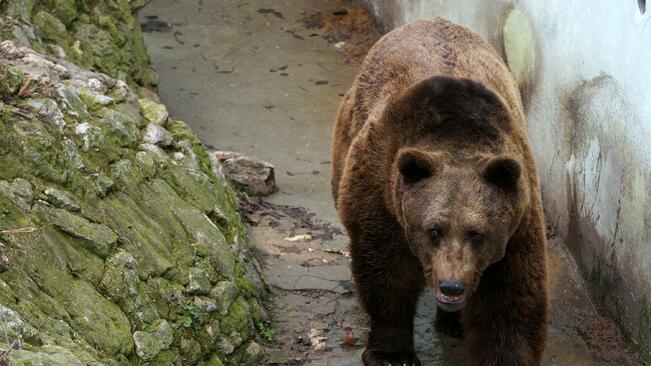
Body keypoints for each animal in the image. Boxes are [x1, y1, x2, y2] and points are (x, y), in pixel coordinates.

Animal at [332, 16, 552, 364]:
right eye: (434, 230)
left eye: (478, 233)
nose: (451, 287)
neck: (458, 137)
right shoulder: (383, 195)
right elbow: (387, 276)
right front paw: (392, 353)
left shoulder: (518, 222)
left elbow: (511, 302)